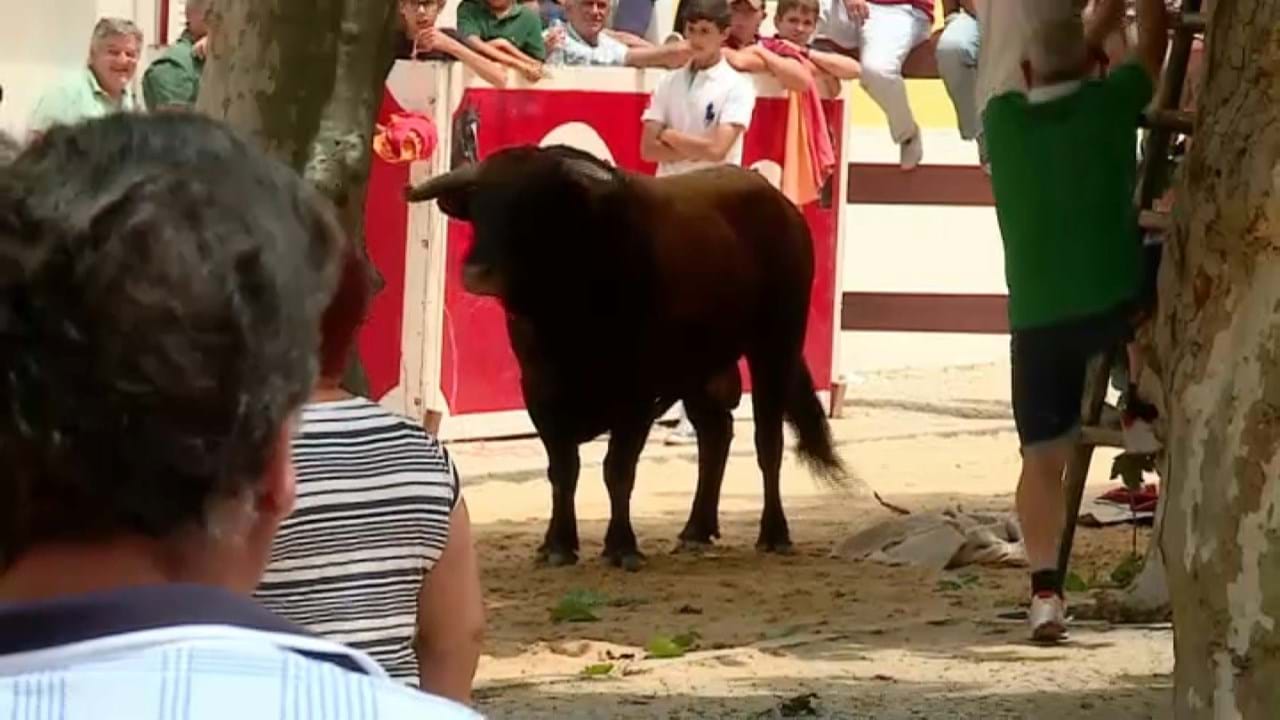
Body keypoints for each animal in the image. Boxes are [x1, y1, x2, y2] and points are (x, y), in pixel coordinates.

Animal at [407, 146, 849, 568]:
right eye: (478, 207)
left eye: (532, 206)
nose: (477, 272)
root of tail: (782, 206)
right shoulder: (539, 391)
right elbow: (562, 471)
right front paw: (557, 544)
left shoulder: (636, 393)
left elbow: (617, 470)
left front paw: (621, 546)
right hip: (699, 368)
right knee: (715, 435)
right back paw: (696, 529)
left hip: (775, 345)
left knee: (768, 442)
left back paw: (774, 533)